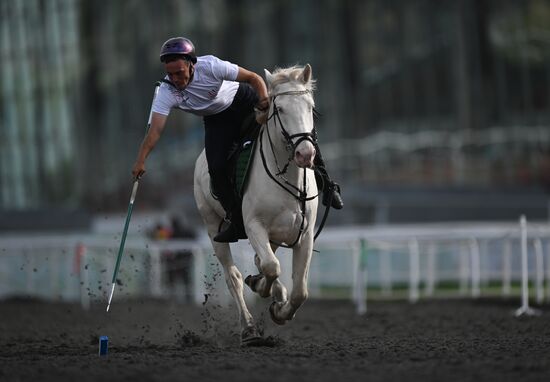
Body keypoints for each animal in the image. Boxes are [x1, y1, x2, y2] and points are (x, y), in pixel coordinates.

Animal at [194, 64, 322, 344]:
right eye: (280, 109)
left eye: (309, 106)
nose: (305, 154)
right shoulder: (254, 226)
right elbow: (271, 266)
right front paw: (266, 292)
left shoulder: (305, 234)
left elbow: (300, 290)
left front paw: (280, 309)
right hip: (212, 225)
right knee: (234, 276)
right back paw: (249, 327)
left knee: (258, 260)